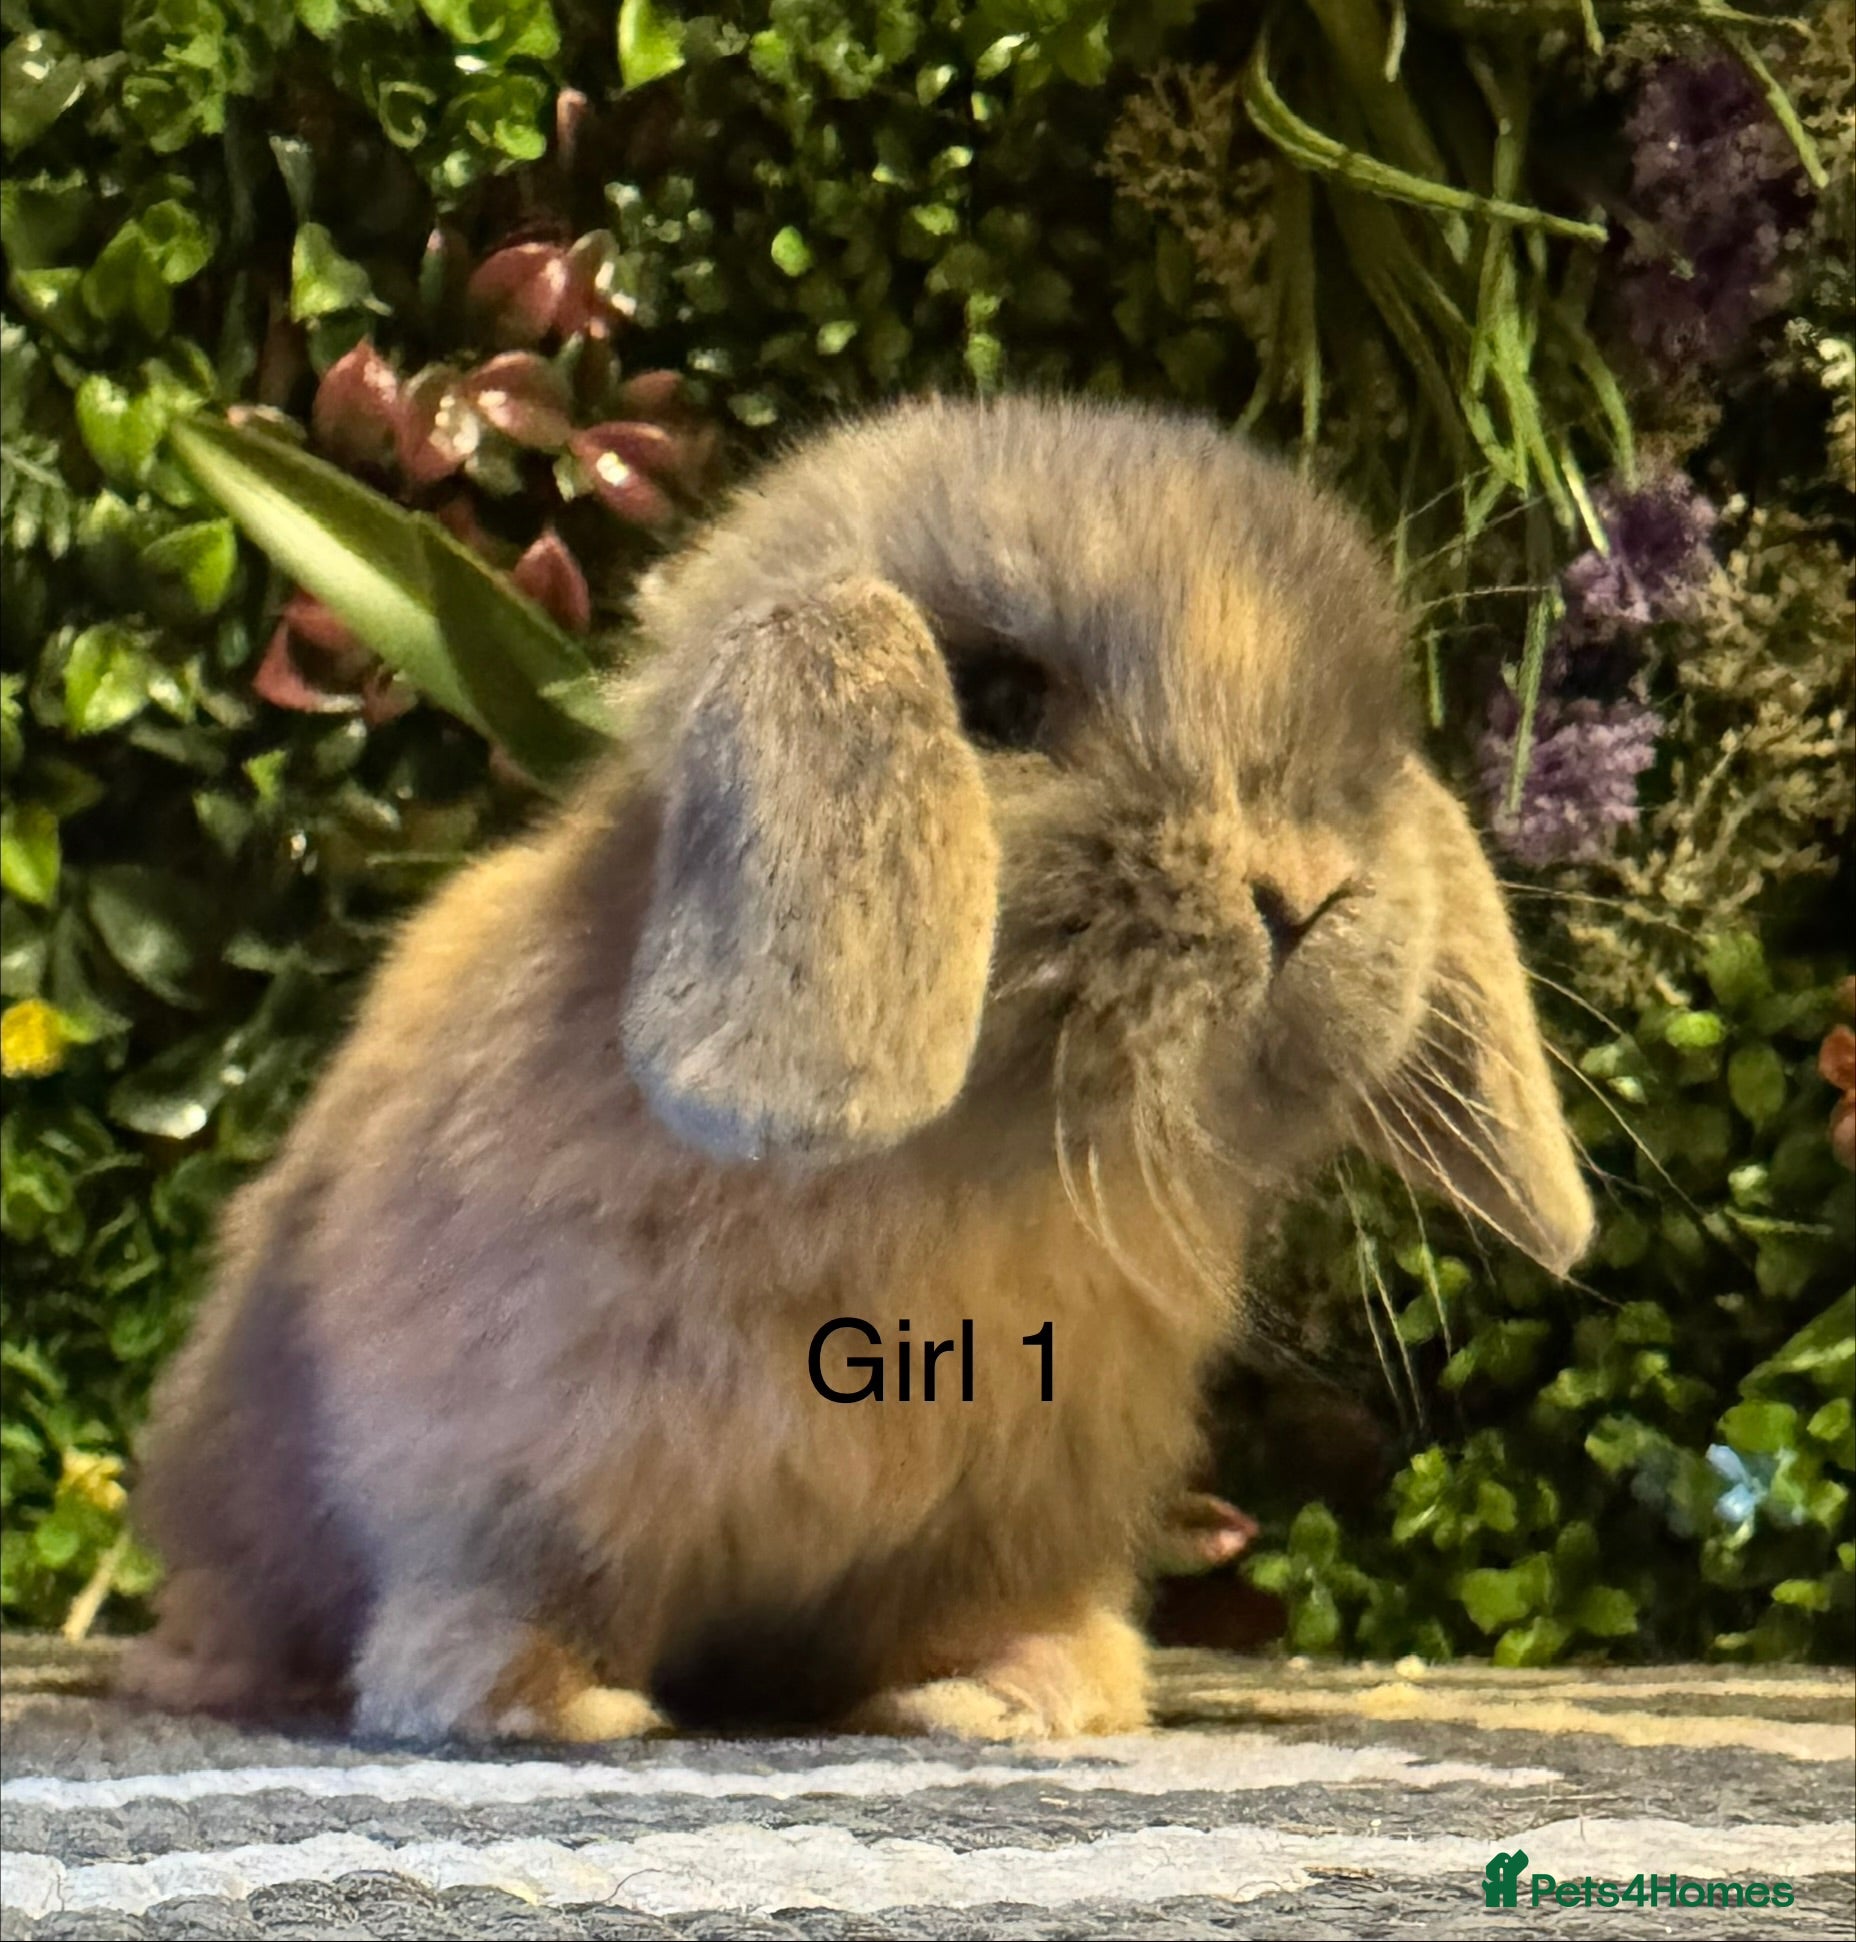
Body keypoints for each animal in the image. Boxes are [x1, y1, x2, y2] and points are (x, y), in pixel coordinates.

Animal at [126, 394, 1592, 1744]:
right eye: (995, 699)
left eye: (1365, 755)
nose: (1300, 893)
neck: (958, 1173)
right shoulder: (498, 1469)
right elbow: (520, 1581)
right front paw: (529, 1700)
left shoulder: (1018, 1503)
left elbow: (979, 1609)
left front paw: (1020, 1695)